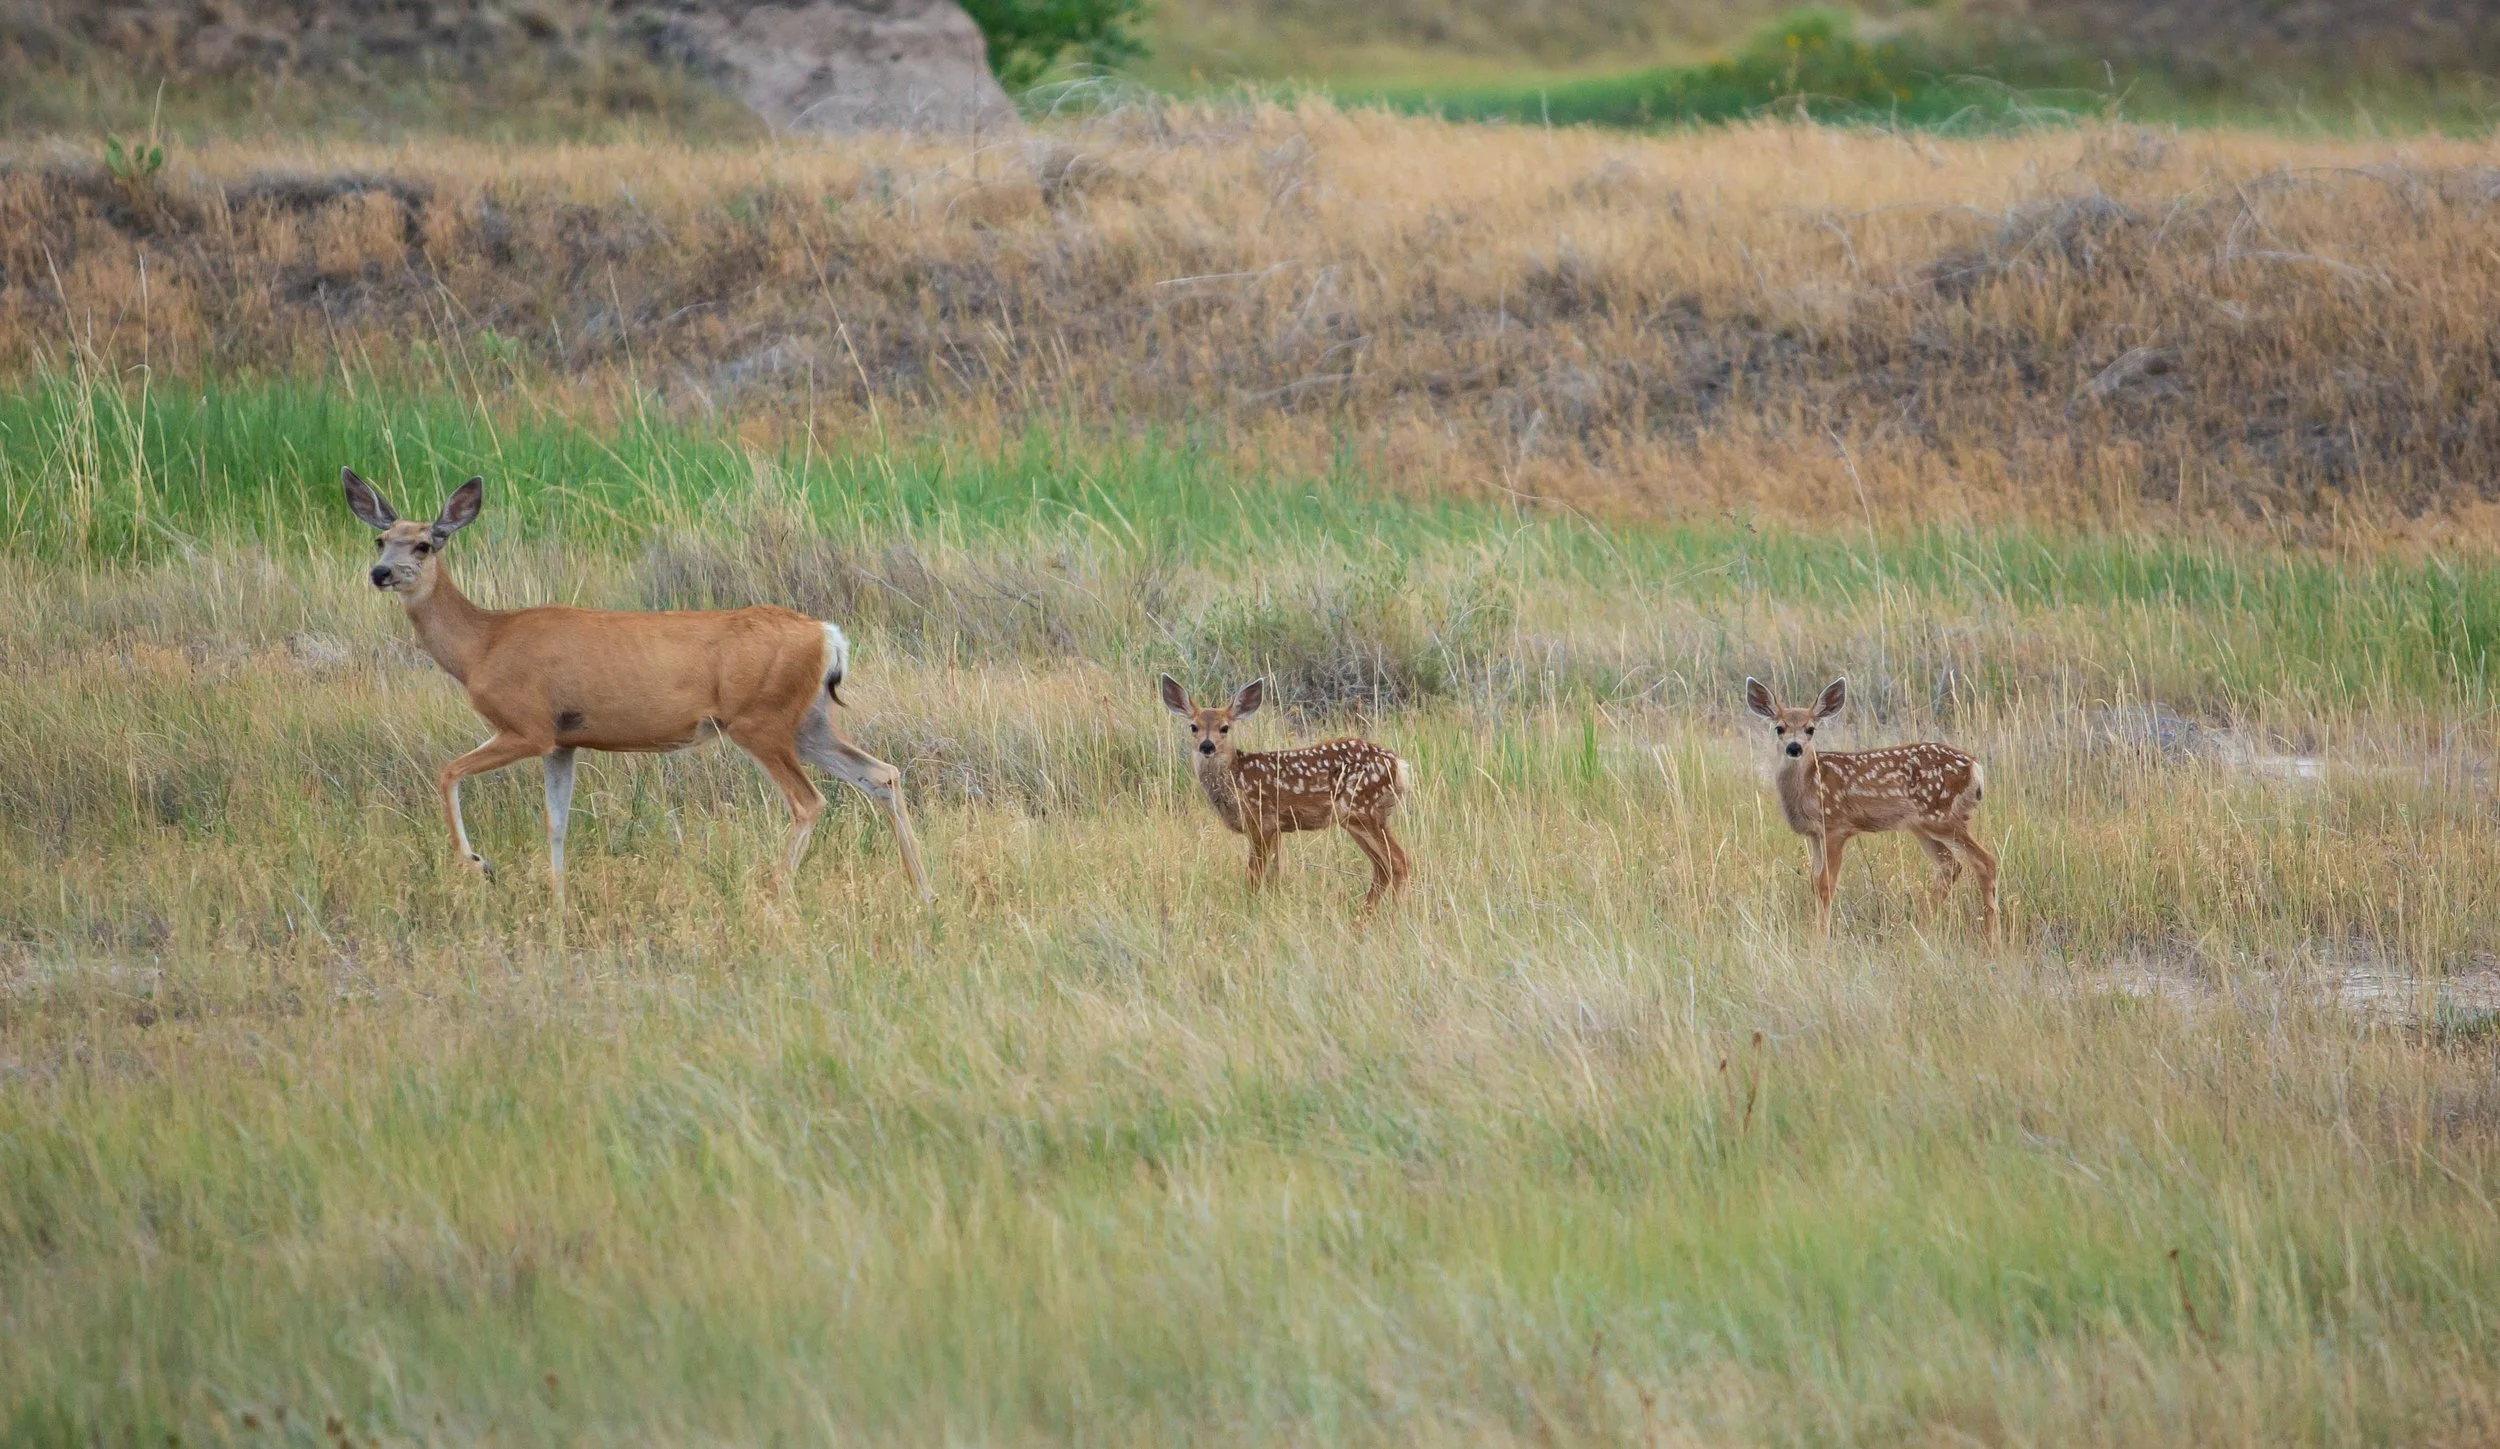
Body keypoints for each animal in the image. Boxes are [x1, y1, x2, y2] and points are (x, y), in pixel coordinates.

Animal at [343, 468, 931, 907]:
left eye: (424, 544)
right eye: (380, 538)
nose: (380, 573)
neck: (483, 645)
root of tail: (827, 635)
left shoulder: (528, 726)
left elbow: (448, 772)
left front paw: (479, 864)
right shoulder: (563, 742)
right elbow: (557, 822)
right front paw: (559, 902)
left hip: (760, 721)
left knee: (810, 801)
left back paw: (775, 892)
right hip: (806, 722)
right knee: (882, 774)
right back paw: (923, 890)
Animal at [1159, 676, 1412, 913]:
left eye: (1225, 727)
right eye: (1193, 726)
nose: (1207, 746)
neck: (1236, 778)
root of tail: (1398, 765)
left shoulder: (1262, 821)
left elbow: (1254, 876)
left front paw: (1251, 909)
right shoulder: (1277, 829)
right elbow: (1275, 874)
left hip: (1364, 810)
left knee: (1399, 861)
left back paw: (1393, 915)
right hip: (1360, 818)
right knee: (1383, 866)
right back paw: (1365, 915)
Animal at [1744, 677, 1998, 942]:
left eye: (1810, 729)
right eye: (1779, 728)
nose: (1794, 748)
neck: (1811, 783)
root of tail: (1976, 767)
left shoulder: (1837, 826)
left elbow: (1826, 884)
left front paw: (1822, 938)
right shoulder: (1815, 834)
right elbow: (1814, 882)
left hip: (1941, 816)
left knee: (1985, 861)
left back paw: (1991, 938)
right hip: (1922, 825)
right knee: (1950, 865)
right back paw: (1922, 927)